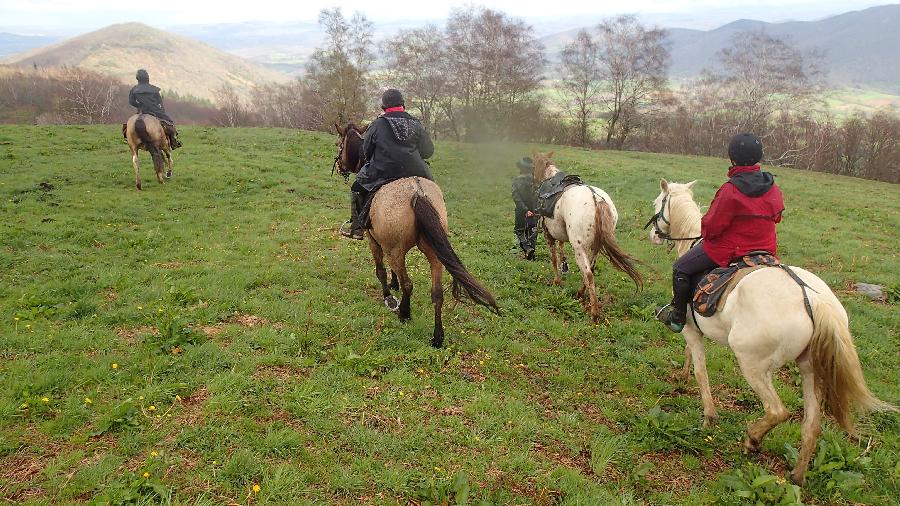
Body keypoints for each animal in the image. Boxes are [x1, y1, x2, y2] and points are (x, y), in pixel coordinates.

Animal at [532, 150, 644, 320]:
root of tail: (597, 200)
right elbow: (561, 250)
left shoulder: (548, 235)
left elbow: (554, 258)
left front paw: (557, 281)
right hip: (595, 248)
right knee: (591, 268)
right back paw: (580, 294)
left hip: (579, 248)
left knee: (588, 274)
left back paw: (594, 313)